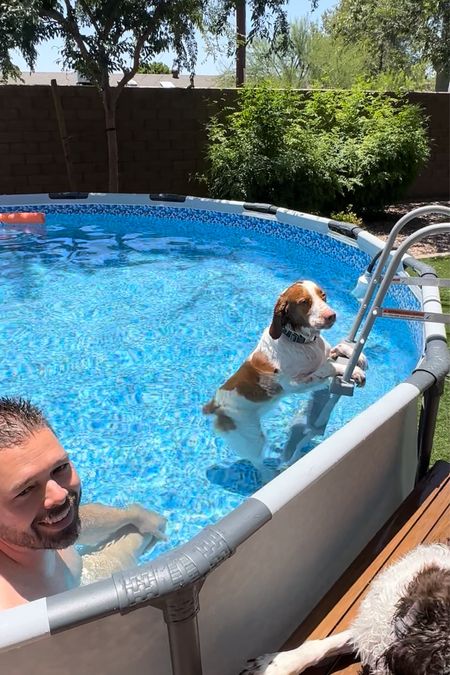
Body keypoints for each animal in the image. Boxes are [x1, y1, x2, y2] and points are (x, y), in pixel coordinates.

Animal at [204, 280, 366, 476]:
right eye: (304, 302)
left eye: (323, 295)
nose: (332, 315)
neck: (302, 341)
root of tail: (213, 405)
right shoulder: (294, 384)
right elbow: (327, 368)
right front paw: (350, 371)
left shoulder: (324, 353)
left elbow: (340, 349)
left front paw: (359, 357)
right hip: (251, 438)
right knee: (257, 463)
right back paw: (272, 474)